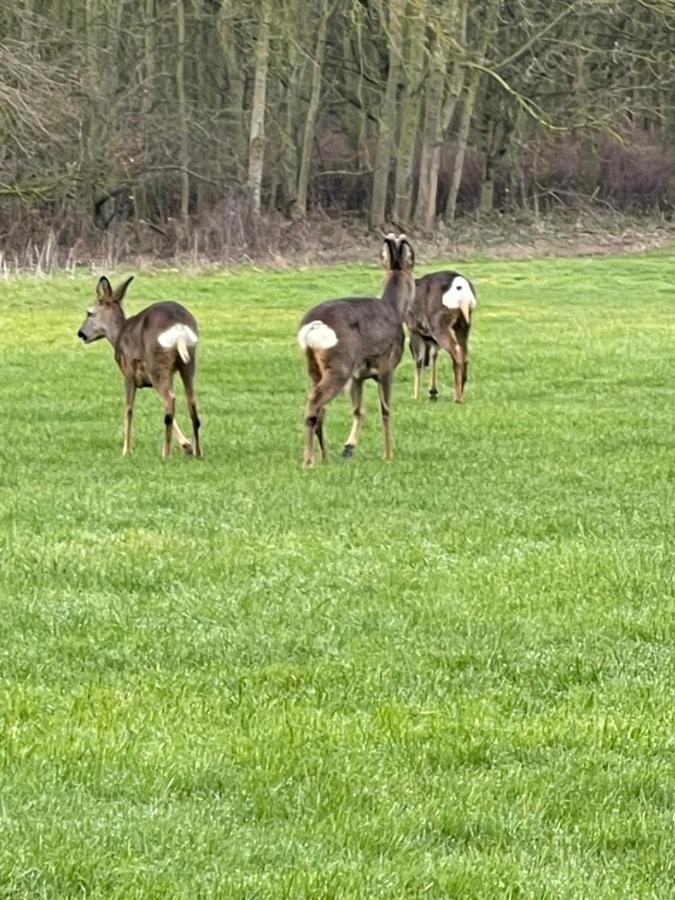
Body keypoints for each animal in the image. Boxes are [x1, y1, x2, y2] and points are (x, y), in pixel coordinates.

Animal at [77, 274, 201, 458]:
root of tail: (178, 327)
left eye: (89, 313)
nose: (80, 333)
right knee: (190, 402)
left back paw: (166, 454)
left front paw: (126, 450)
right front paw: (187, 445)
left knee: (170, 399)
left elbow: (129, 410)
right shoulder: (158, 377)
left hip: (157, 363)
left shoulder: (128, 374)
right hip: (187, 361)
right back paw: (198, 452)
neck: (118, 335)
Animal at [300, 232, 418, 468]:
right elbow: (385, 410)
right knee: (314, 402)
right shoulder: (387, 366)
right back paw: (309, 460)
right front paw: (389, 453)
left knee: (320, 409)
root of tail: (313, 326)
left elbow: (358, 410)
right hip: (340, 364)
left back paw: (325, 457)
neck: (395, 309)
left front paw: (348, 447)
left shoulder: (358, 375)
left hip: (314, 367)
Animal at [406, 270, 476, 404]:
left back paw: (457, 398)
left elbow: (419, 360)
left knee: (456, 350)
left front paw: (416, 396)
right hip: (464, 323)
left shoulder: (414, 329)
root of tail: (461, 286)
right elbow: (434, 355)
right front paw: (432, 392)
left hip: (439, 323)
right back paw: (460, 393)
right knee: (465, 353)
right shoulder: (430, 339)